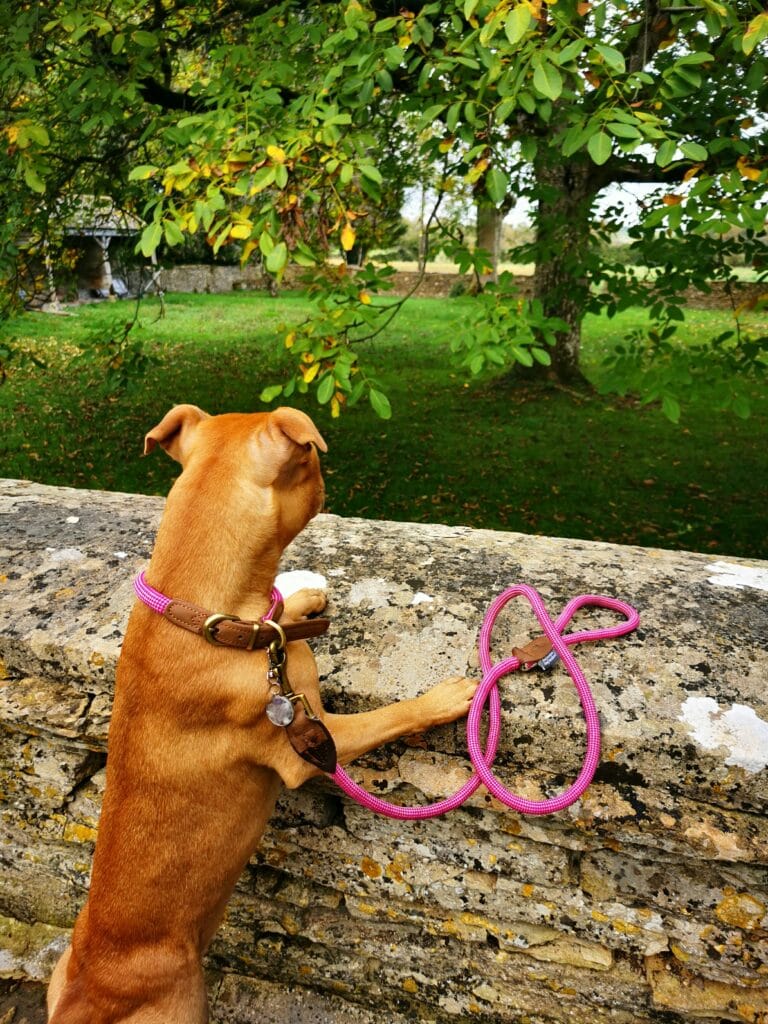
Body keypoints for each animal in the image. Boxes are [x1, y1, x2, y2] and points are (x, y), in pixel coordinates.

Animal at [47, 404, 478, 1023]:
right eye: (312, 460)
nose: (327, 480)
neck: (198, 616)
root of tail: (85, 996)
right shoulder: (311, 739)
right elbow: (392, 715)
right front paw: (446, 697)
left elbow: (278, 613)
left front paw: (301, 595)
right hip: (181, 1001)